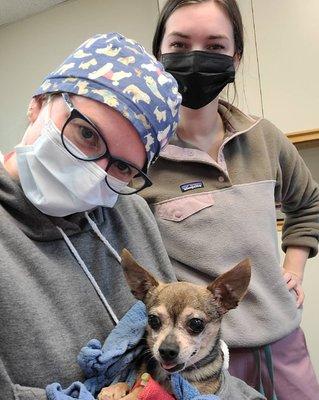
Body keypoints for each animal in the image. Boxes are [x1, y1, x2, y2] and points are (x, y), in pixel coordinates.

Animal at [99, 250, 251, 396]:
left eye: (196, 324)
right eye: (153, 320)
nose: (167, 351)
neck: (168, 378)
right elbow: (131, 382)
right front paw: (114, 389)